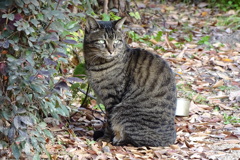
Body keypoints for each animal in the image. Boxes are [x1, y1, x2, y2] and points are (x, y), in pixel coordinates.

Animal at [83, 16, 177, 146]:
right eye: (102, 42)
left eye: (117, 42)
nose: (111, 51)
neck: (96, 64)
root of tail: (170, 139)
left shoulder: (113, 97)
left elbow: (109, 122)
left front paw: (105, 138)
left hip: (123, 111)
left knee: (135, 140)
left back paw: (117, 140)